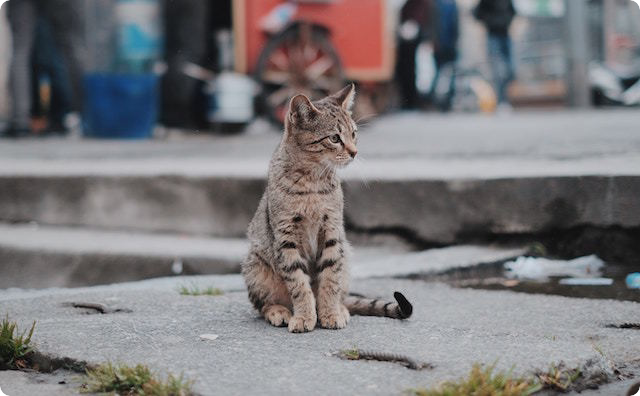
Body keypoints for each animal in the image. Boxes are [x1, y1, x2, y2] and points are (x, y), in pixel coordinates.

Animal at [242, 85, 412, 332]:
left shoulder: (332, 231)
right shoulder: (286, 238)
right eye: (334, 138)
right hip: (256, 266)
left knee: (342, 292)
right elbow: (299, 284)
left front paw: (330, 313)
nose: (354, 152)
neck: (312, 182)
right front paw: (304, 316)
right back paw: (279, 311)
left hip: (346, 254)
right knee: (262, 304)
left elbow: (330, 279)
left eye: (354, 134)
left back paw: (340, 308)